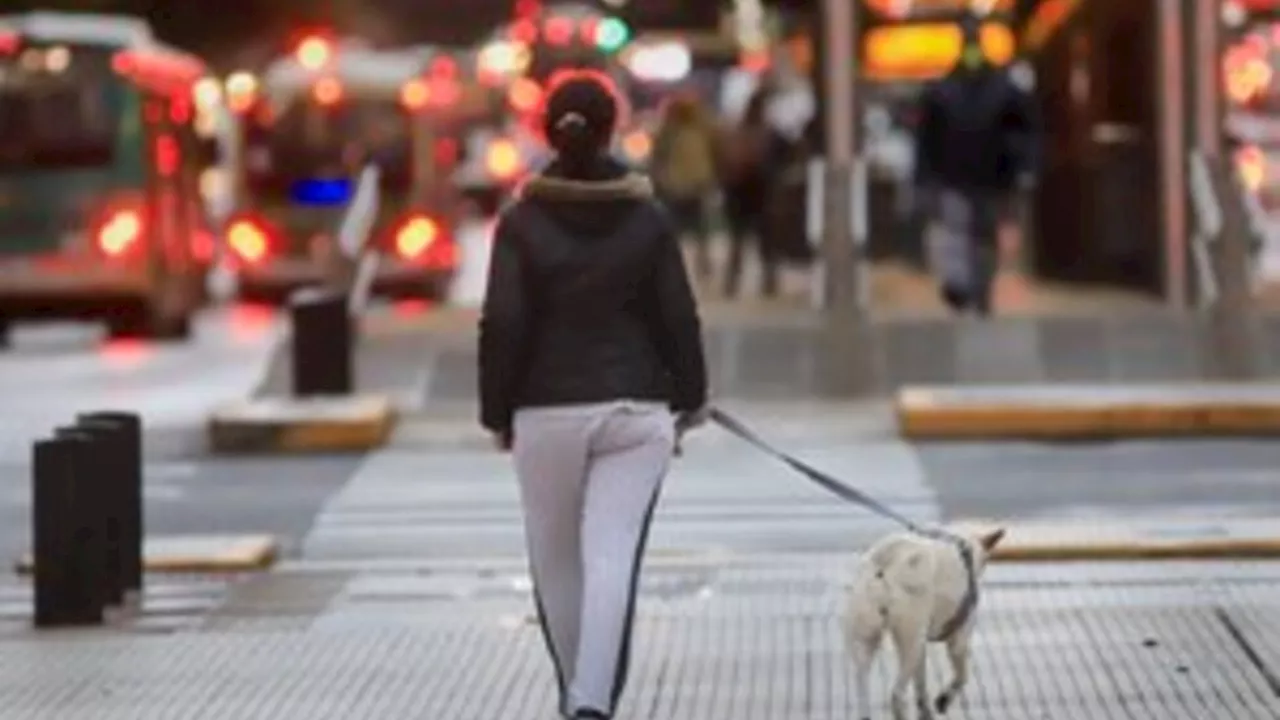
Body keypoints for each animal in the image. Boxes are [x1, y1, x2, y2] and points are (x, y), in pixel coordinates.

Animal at [839, 525, 1008, 712]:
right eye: (986, 560)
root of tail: (886, 561)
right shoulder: (959, 640)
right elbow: (962, 675)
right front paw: (944, 699)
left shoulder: (922, 647)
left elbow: (920, 685)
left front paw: (925, 709)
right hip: (910, 641)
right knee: (897, 694)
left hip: (865, 636)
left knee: (861, 685)